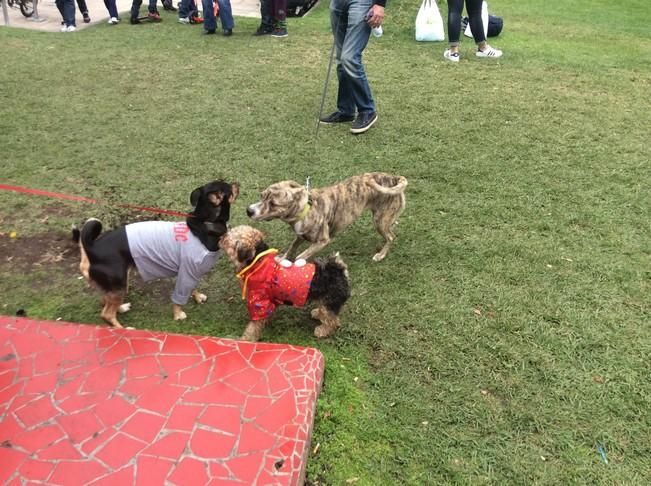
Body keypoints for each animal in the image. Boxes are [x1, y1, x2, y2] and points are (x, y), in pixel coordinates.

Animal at [72, 180, 239, 328]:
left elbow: (193, 288)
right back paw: (124, 329)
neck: (205, 222)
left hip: (114, 284)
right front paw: (178, 315)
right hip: (118, 283)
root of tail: (91, 247)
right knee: (106, 314)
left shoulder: (192, 273)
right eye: (230, 188)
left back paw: (121, 308)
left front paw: (197, 298)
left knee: (105, 302)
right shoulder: (187, 271)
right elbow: (179, 297)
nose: (237, 183)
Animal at [220, 225, 352, 342]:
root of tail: (339, 270)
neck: (258, 262)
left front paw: (245, 340)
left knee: (333, 321)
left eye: (227, 240)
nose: (221, 236)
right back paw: (316, 314)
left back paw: (322, 331)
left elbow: (253, 328)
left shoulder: (259, 303)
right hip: (325, 300)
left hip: (330, 303)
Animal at [246, 171, 408, 262]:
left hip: (379, 221)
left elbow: (300, 256)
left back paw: (381, 255)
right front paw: (282, 258)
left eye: (273, 204)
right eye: (261, 195)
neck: (305, 209)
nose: (249, 211)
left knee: (391, 237)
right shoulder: (300, 235)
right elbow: (292, 248)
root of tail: (394, 178)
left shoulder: (322, 241)